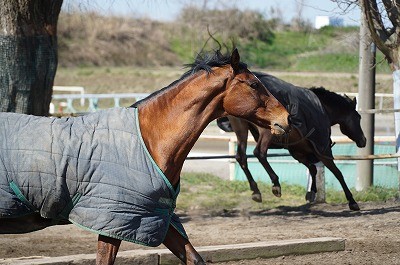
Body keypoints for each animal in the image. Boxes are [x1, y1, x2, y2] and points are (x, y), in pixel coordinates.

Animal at [0, 50, 290, 264]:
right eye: (254, 84)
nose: (286, 119)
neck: (149, 141)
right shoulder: (114, 221)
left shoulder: (155, 218)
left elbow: (194, 258)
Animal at [217, 71, 368, 210]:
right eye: (358, 117)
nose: (363, 140)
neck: (322, 108)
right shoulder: (323, 151)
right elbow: (338, 173)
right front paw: (352, 201)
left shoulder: (299, 152)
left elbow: (313, 168)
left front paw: (311, 193)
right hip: (267, 130)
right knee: (259, 153)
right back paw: (275, 184)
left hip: (241, 130)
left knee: (241, 156)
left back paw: (256, 191)